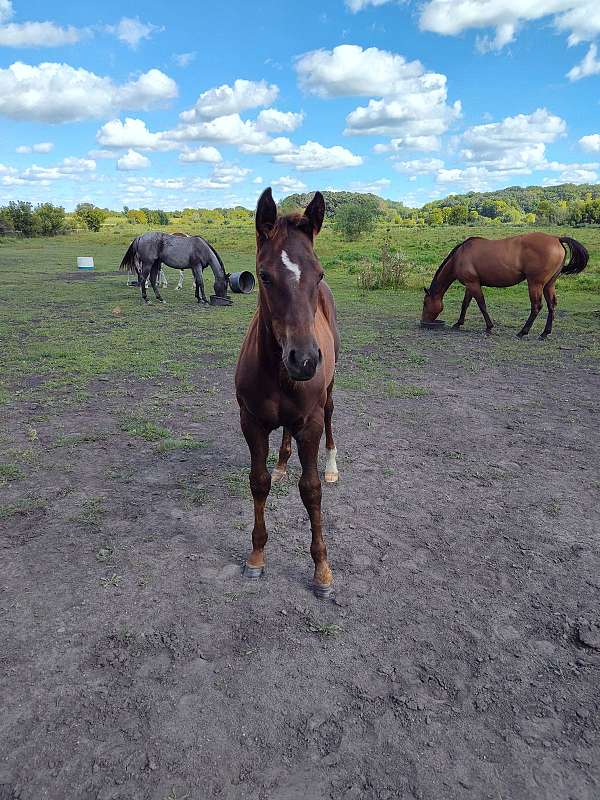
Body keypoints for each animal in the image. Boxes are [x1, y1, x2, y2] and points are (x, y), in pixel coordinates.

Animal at [234, 189, 340, 592]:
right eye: (263, 275)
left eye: (319, 272)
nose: (305, 360)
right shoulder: (251, 422)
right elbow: (258, 482)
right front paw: (256, 556)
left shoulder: (309, 423)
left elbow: (311, 490)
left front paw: (322, 569)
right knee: (282, 437)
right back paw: (281, 463)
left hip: (329, 392)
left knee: (331, 416)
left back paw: (333, 466)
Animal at [424, 234, 588, 340]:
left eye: (425, 303)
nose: (424, 321)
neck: (460, 256)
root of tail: (557, 239)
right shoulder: (471, 285)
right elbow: (465, 304)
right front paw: (458, 323)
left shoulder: (473, 284)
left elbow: (481, 305)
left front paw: (489, 327)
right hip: (549, 285)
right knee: (551, 306)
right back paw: (545, 333)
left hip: (535, 284)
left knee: (536, 307)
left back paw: (523, 332)